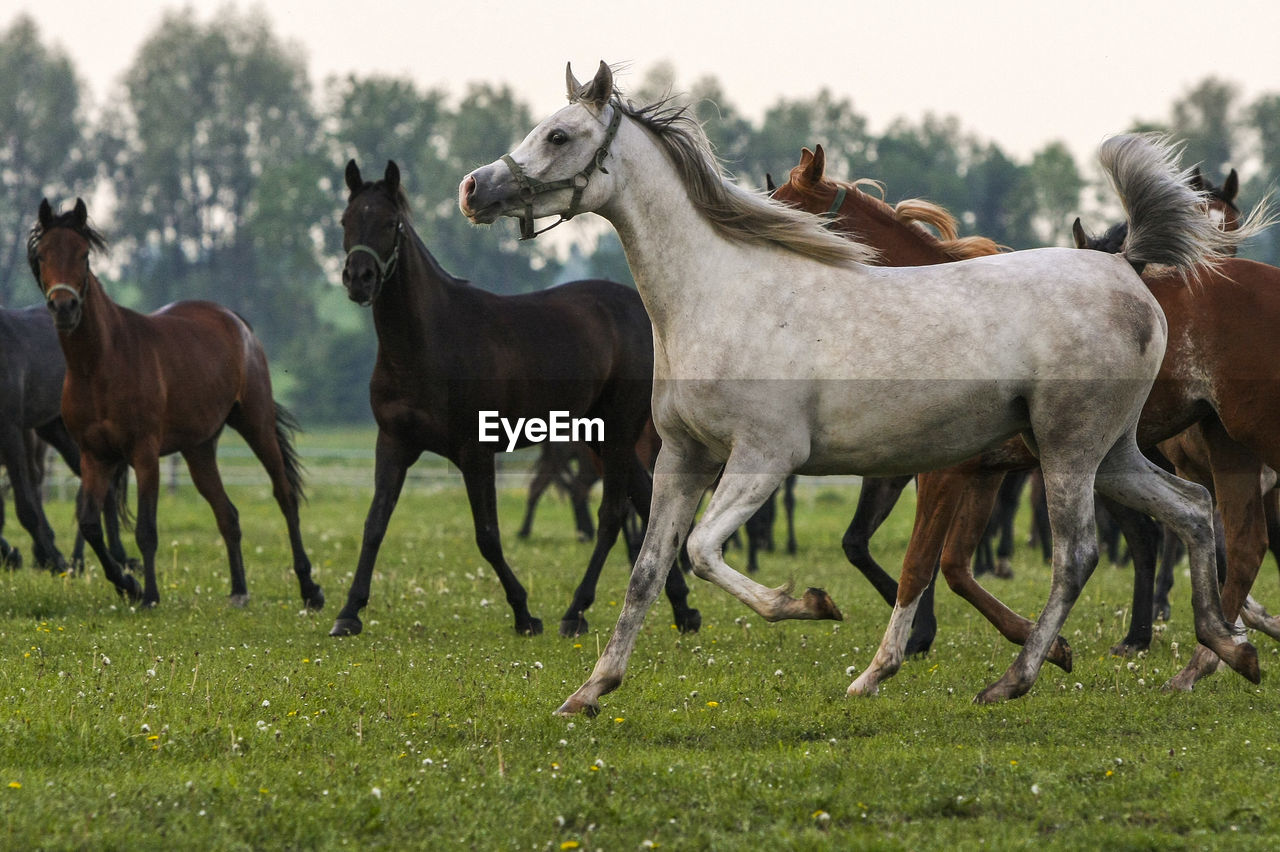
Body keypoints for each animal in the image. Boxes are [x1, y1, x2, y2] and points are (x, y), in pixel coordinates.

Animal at [28, 197, 322, 611]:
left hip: (256, 424)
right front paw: (128, 585)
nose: (64, 306)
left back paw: (310, 589)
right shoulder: (94, 456)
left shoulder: (144, 454)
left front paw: (149, 594)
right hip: (199, 449)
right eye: (42, 255)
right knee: (227, 514)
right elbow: (89, 524)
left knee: (285, 497)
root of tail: (237, 322)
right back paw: (239, 590)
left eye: (84, 255)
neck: (101, 363)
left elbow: (146, 530)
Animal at [325, 159, 696, 637]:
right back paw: (683, 608)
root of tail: (640, 311)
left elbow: (487, 535)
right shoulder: (393, 444)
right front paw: (348, 611)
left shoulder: (475, 452)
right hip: (598, 436)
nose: (359, 279)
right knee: (645, 499)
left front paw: (523, 611)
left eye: (391, 223)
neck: (428, 342)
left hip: (615, 433)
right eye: (346, 221)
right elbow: (374, 524)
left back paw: (576, 611)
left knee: (613, 516)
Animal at [778, 145, 1280, 690]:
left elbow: (920, 561)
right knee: (1233, 539)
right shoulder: (977, 473)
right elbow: (947, 565)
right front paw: (1046, 645)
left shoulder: (944, 471)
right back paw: (1206, 653)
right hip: (1213, 444)